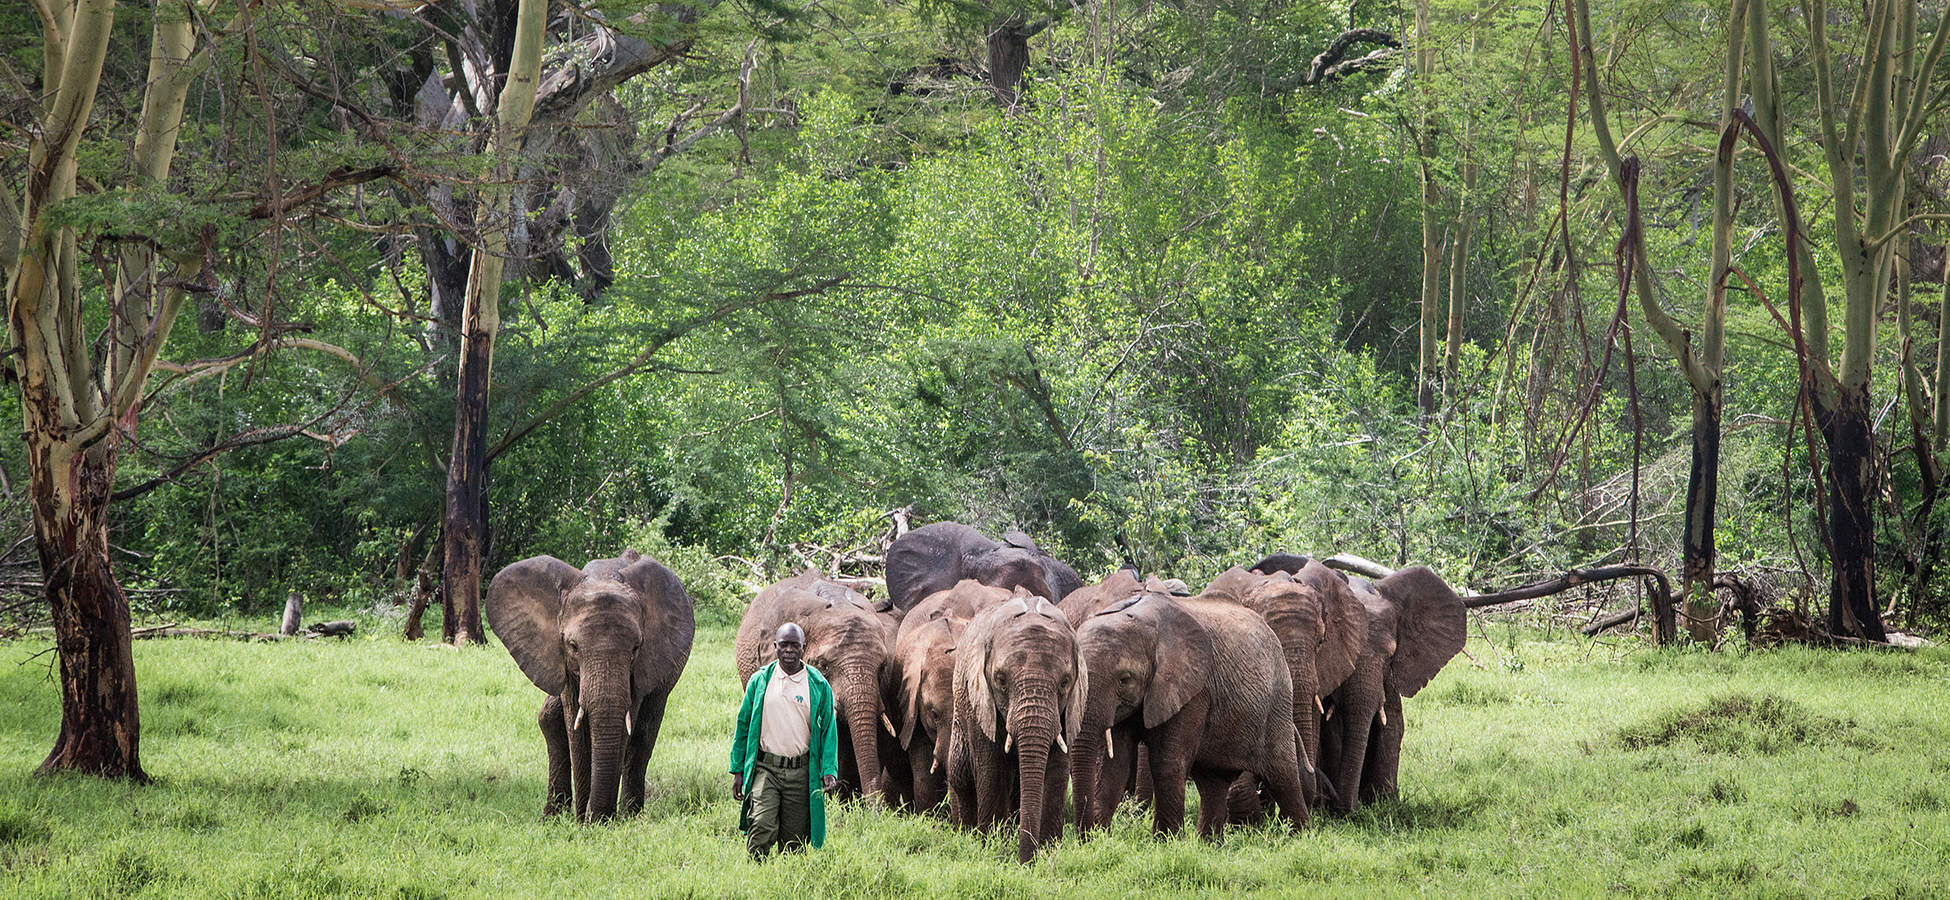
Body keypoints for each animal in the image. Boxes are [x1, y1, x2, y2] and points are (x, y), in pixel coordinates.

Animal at [484, 550, 695, 822]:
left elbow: (625, 725)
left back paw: (630, 816)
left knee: (643, 733)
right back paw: (553, 817)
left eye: (636, 648)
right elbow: (576, 725)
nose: (594, 816)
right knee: (549, 719)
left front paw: (598, 821)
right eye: (573, 646)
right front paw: (584, 821)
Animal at [946, 594, 1088, 863]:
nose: (1026, 864)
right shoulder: (981, 705)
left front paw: (1048, 850)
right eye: (1000, 680)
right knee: (960, 772)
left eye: (1065, 682)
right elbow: (992, 769)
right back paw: (966, 834)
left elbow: (1055, 770)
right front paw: (994, 846)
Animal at [1068, 583, 1308, 838]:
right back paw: (1209, 842)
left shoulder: (1194, 691)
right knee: (1212, 784)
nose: (1086, 837)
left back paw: (1300, 837)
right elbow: (1116, 765)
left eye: (1125, 679)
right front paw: (1101, 837)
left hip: (1278, 704)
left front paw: (1164, 841)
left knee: (1283, 777)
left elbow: (1167, 762)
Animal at [1316, 565, 1466, 814]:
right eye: (1343, 652)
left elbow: (1393, 724)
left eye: (1390, 655)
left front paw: (1385, 802)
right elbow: (1331, 729)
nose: (1351, 808)